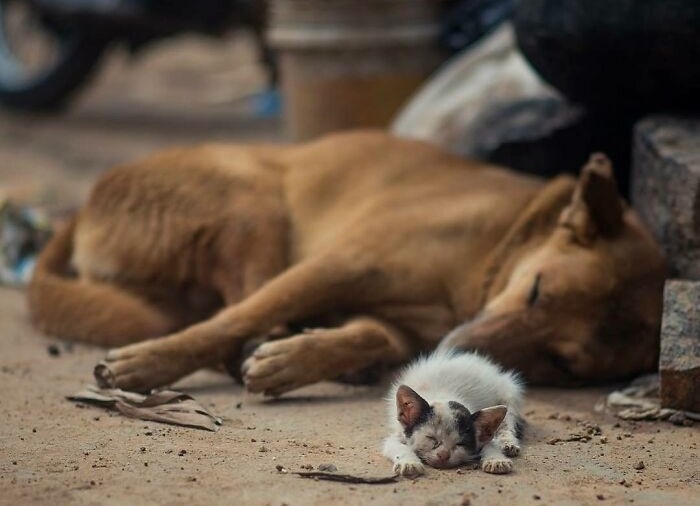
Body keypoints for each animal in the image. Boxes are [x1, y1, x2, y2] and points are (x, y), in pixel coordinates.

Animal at [26, 131, 660, 396]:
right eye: (535, 292)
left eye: (565, 364)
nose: (453, 350)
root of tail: (82, 207)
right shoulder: (342, 263)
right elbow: (233, 319)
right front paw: (146, 365)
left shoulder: (394, 319)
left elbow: (369, 336)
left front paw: (299, 360)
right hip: (254, 204)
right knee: (239, 304)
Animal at [382, 350, 524, 476]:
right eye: (431, 438)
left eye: (460, 443)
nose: (443, 455)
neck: (443, 395)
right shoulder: (398, 434)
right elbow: (398, 446)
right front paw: (409, 463)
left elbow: (490, 442)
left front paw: (496, 459)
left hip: (509, 391)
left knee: (508, 421)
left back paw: (507, 443)